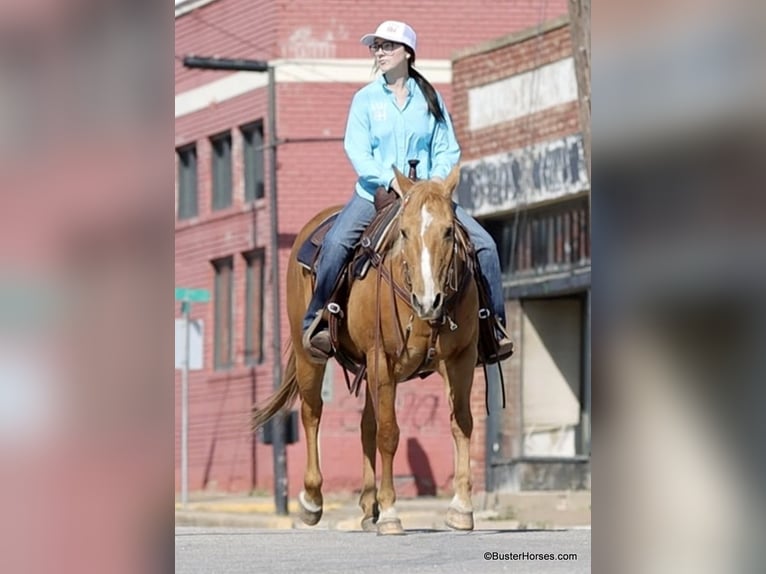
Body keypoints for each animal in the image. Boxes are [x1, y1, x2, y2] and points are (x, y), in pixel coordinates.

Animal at [251, 165, 479, 535]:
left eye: (448, 231)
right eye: (404, 232)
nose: (428, 302)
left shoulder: (462, 359)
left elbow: (461, 423)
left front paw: (461, 508)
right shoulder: (381, 358)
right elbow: (389, 433)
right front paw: (390, 512)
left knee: (365, 425)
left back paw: (368, 504)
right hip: (310, 357)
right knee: (312, 414)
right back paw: (312, 501)